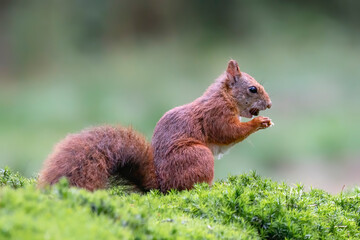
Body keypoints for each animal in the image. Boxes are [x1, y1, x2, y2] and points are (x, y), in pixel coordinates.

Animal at [37, 60, 272, 193]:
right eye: (252, 89)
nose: (269, 104)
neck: (225, 97)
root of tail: (162, 184)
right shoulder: (216, 115)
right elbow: (229, 133)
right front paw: (259, 123)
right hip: (198, 155)